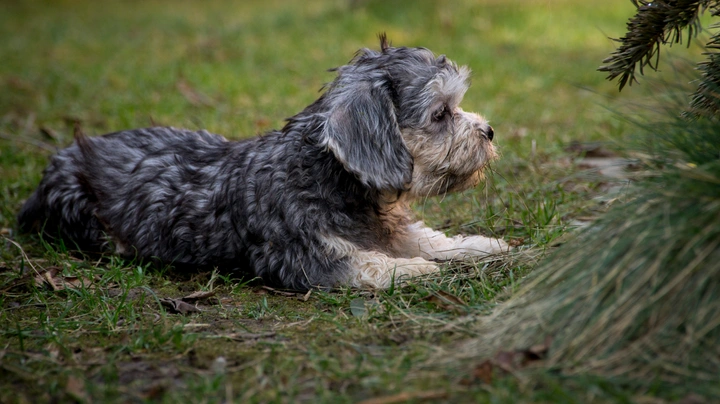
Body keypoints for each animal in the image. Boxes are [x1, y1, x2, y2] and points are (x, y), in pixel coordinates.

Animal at [19, 36, 510, 290]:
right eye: (441, 114)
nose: (489, 132)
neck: (332, 176)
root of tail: (62, 156)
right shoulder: (301, 255)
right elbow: (366, 263)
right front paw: (410, 270)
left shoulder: (391, 227)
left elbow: (432, 239)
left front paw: (481, 245)